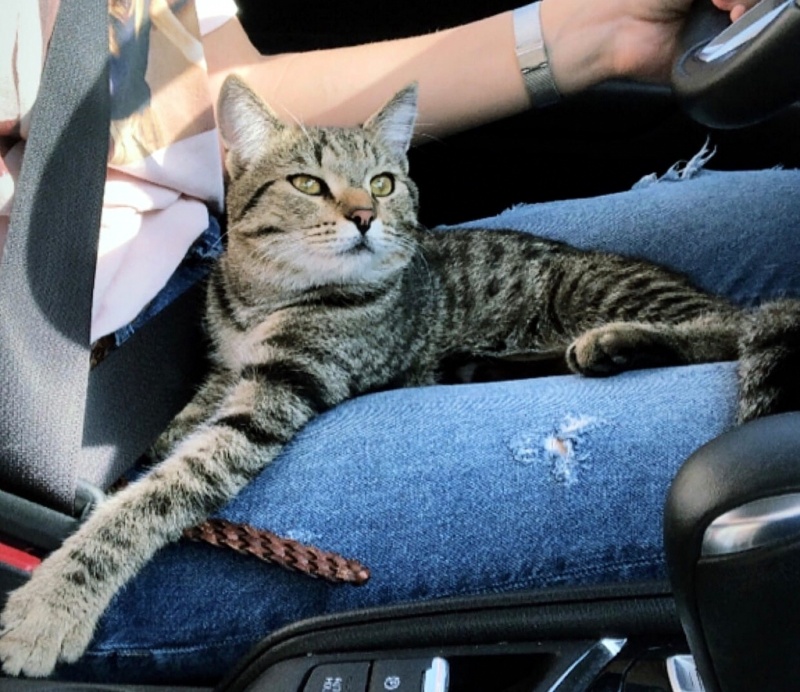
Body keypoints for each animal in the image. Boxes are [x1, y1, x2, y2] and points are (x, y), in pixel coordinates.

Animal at [1, 74, 798, 678]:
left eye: (383, 183)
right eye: (307, 182)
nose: (363, 215)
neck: (266, 295)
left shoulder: (278, 391)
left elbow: (159, 494)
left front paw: (55, 601)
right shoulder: (226, 370)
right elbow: (174, 434)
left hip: (596, 289)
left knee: (730, 324)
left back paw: (612, 345)